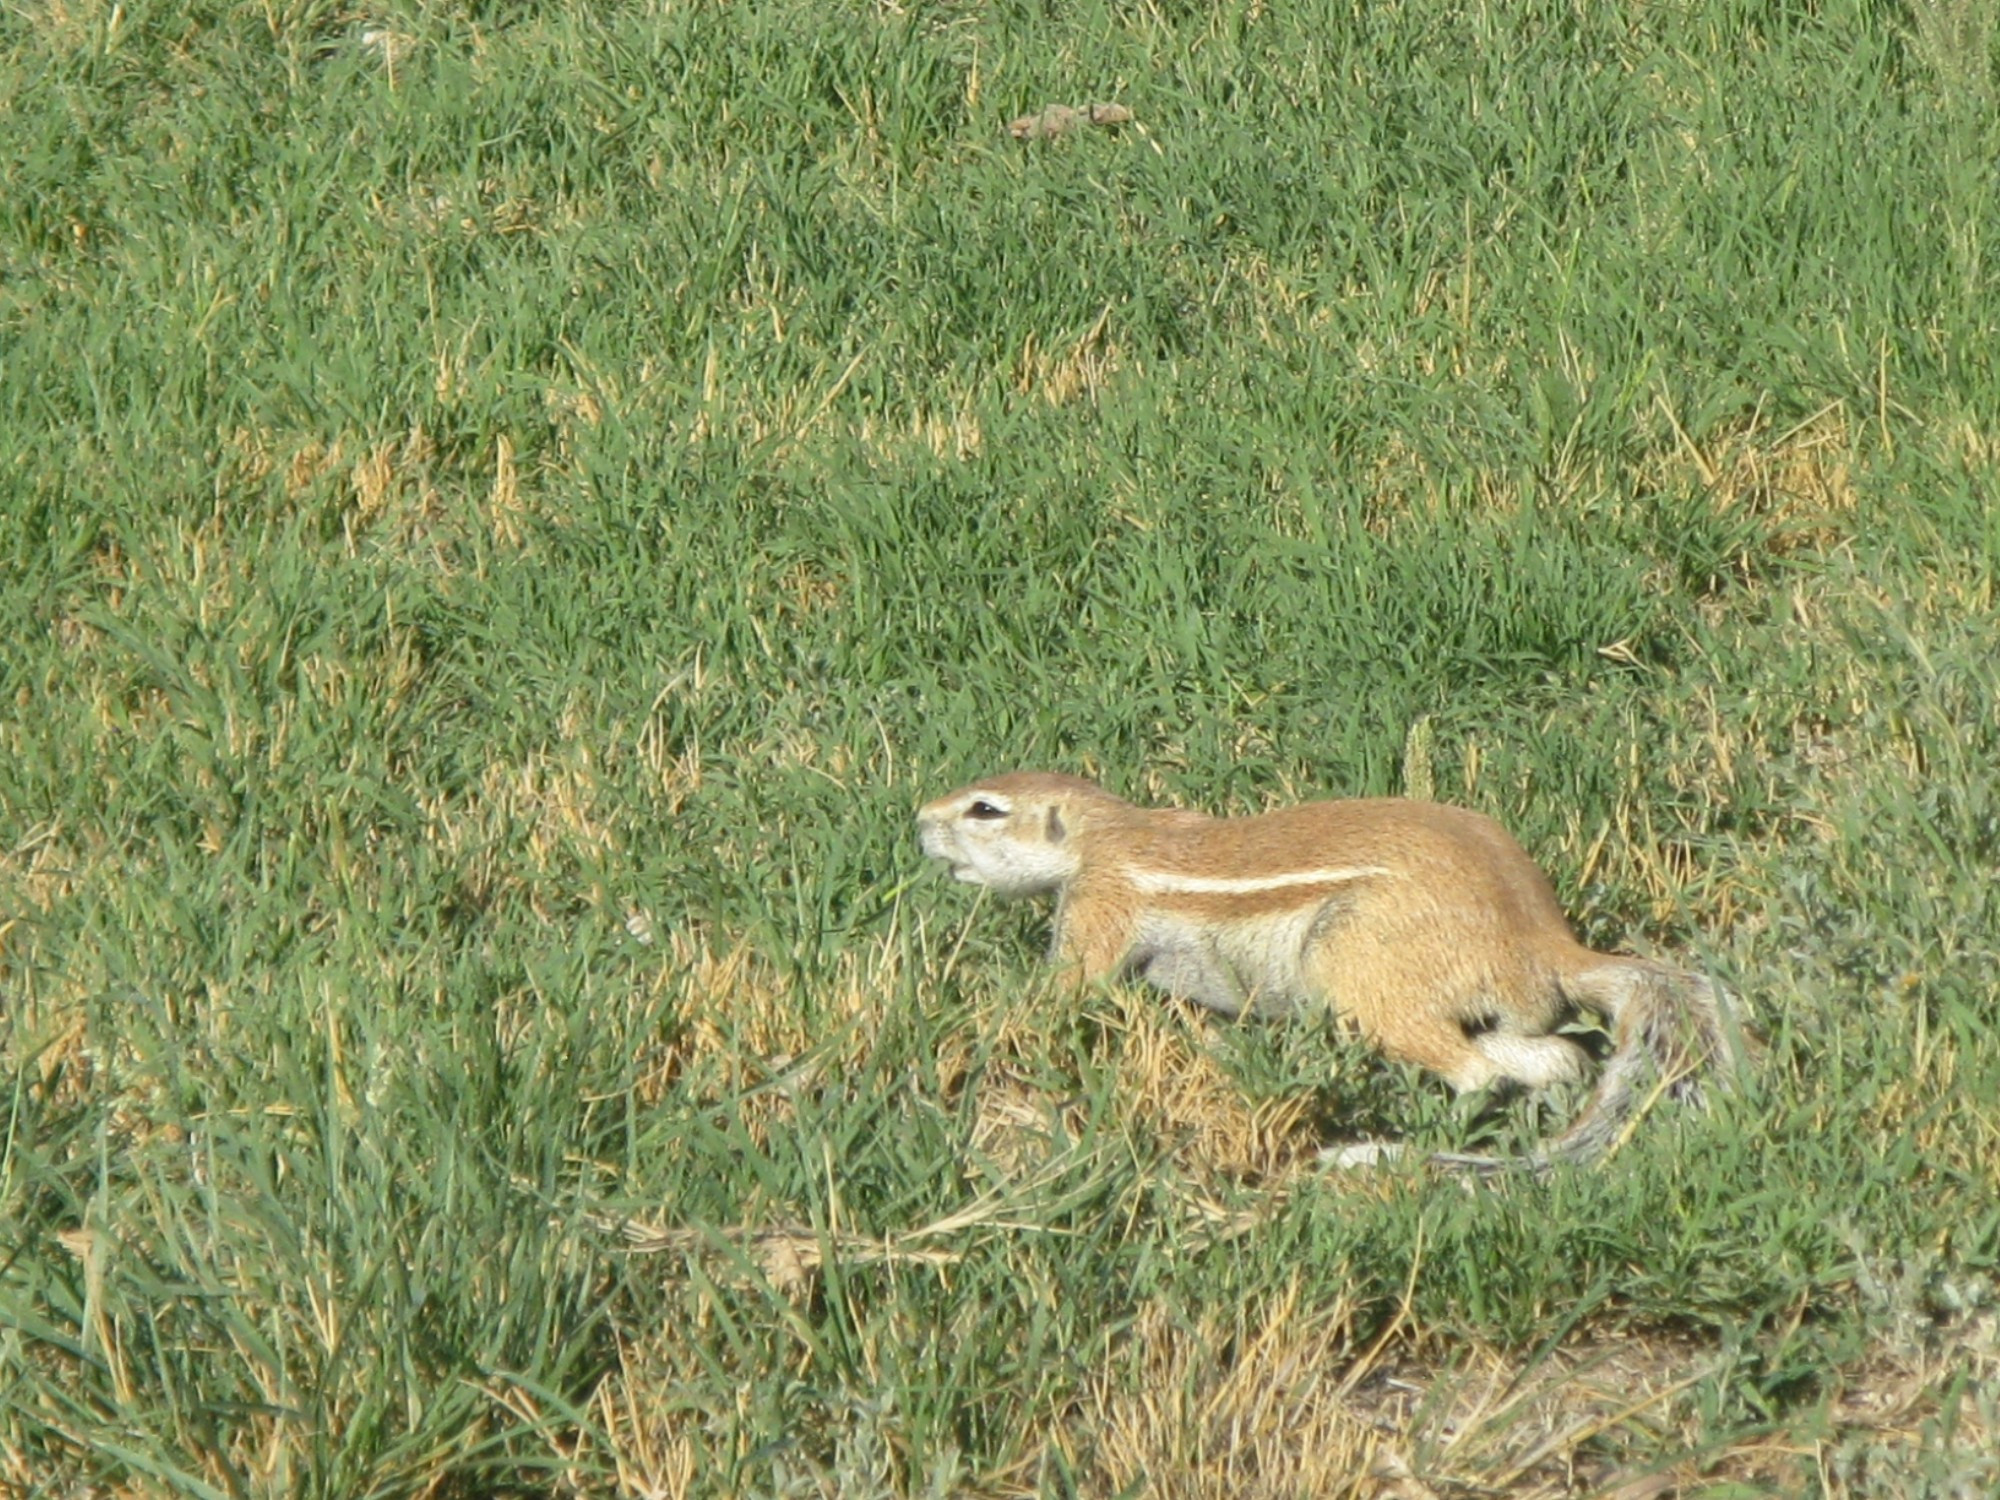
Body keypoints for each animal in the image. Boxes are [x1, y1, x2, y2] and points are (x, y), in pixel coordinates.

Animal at [916, 776, 1744, 1176]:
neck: (1108, 831)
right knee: (1558, 1059)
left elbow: (1063, 990)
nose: (919, 819)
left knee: (1476, 1072)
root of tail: (1549, 946)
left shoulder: (1100, 906)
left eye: (985, 809)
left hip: (1357, 971)